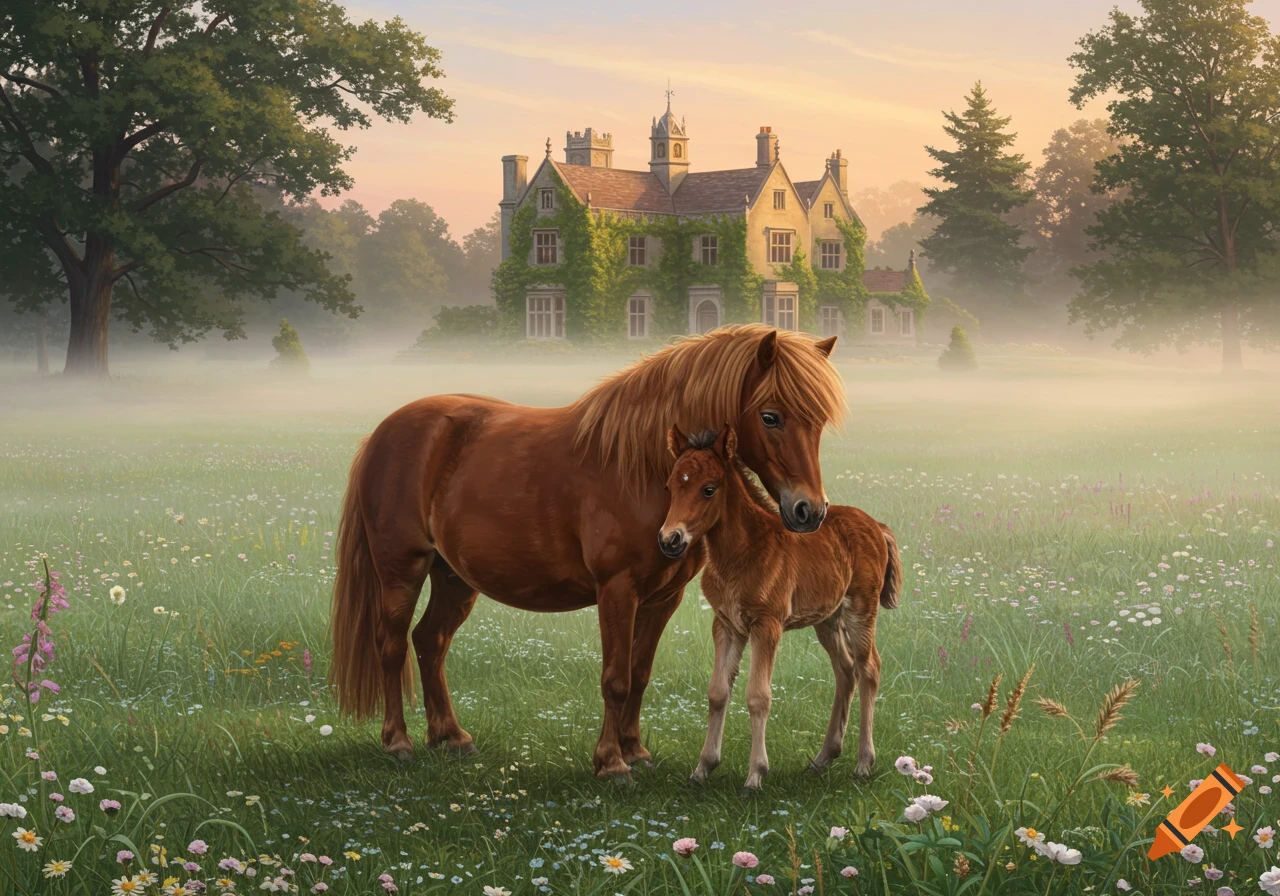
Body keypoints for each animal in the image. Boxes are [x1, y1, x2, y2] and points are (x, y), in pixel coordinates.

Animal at [329, 325, 845, 778]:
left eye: (819, 421)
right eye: (770, 416)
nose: (809, 511)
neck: (639, 468)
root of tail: (383, 433)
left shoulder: (663, 598)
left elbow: (639, 673)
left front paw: (635, 752)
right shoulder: (617, 591)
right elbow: (615, 678)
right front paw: (611, 764)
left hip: (454, 577)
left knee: (430, 641)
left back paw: (452, 738)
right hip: (402, 569)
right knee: (392, 644)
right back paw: (399, 742)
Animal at [657, 425, 901, 793]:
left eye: (708, 489)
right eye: (671, 487)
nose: (670, 540)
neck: (742, 552)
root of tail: (876, 525)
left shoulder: (766, 625)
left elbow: (758, 696)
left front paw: (755, 776)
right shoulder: (725, 624)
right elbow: (717, 692)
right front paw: (702, 769)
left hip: (861, 609)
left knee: (868, 668)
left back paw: (863, 764)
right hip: (827, 619)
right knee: (845, 670)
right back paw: (821, 760)